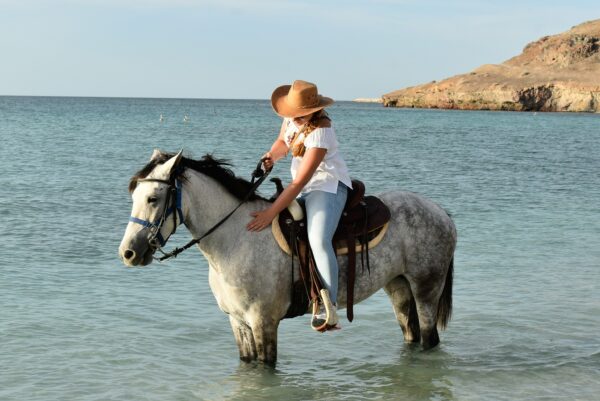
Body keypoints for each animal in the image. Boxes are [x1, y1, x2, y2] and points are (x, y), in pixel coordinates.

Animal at [119, 151, 458, 366]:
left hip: (426, 289)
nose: (129, 253)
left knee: (429, 339)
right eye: (134, 196)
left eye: (153, 198)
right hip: (398, 287)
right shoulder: (237, 322)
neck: (237, 238)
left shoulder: (263, 322)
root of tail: (442, 212)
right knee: (411, 335)